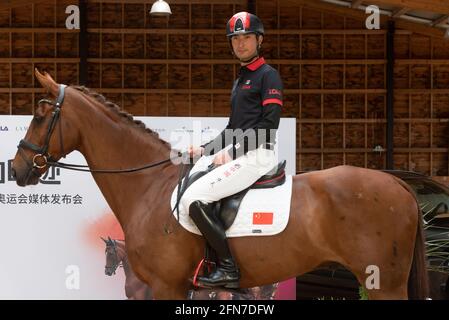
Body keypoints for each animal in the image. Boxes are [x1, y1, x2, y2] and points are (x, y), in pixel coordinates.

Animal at [11, 70, 428, 300]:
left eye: (39, 115)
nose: (16, 169)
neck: (149, 187)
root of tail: (397, 184)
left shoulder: (166, 285)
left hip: (383, 282)